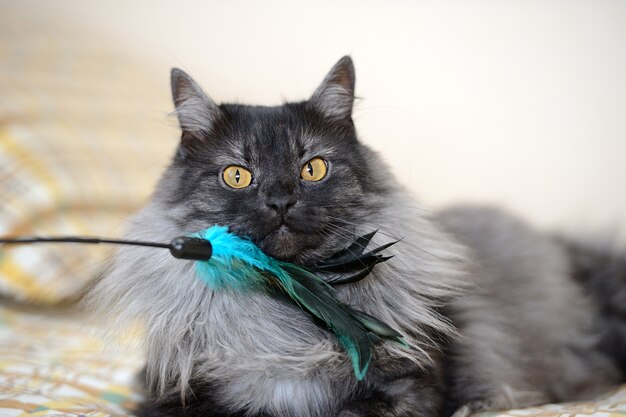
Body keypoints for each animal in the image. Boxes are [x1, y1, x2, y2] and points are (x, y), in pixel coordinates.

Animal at [84, 56, 624, 416]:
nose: (281, 201)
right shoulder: (171, 392)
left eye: (313, 168)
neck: (286, 314)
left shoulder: (412, 388)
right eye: (237, 175)